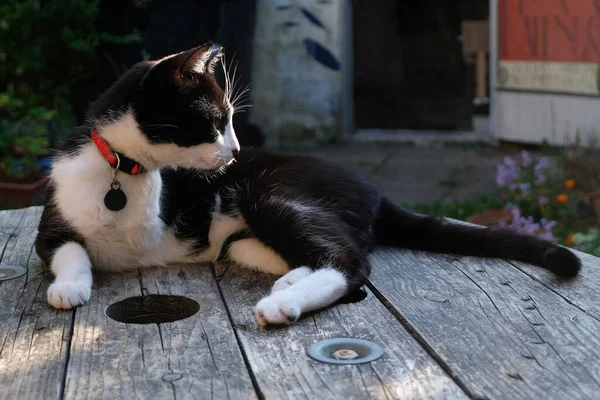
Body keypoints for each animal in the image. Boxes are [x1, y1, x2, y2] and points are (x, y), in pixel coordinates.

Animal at [35, 43, 580, 326]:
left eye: (231, 121)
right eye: (215, 121)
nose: (236, 152)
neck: (122, 169)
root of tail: (373, 189)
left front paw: (69, 287)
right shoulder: (53, 223)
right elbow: (68, 249)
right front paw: (71, 285)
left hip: (274, 195)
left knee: (350, 262)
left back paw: (283, 302)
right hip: (245, 235)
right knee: (316, 252)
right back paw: (290, 281)